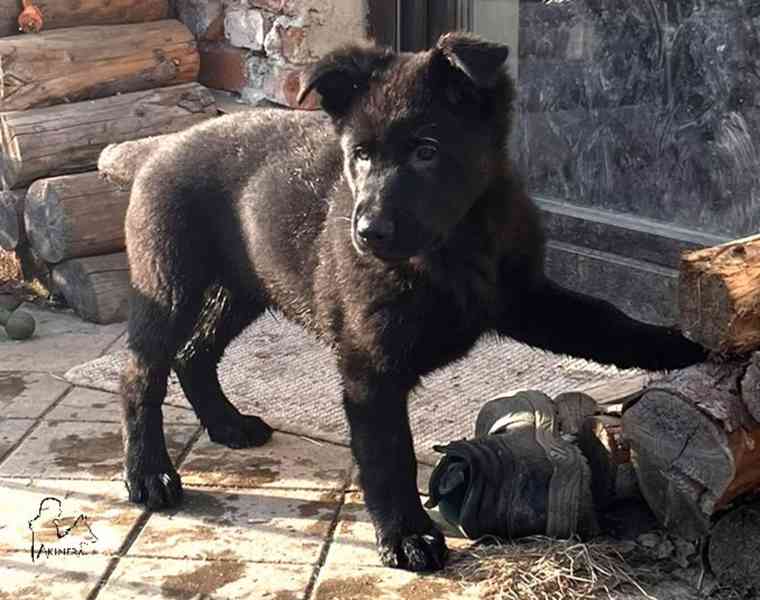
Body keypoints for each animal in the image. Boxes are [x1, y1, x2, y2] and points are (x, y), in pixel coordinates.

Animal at [121, 32, 704, 572]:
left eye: (428, 151)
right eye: (359, 155)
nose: (367, 233)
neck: (454, 246)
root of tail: (160, 146)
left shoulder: (524, 298)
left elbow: (607, 322)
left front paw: (681, 346)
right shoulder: (369, 367)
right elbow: (389, 452)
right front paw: (406, 534)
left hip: (245, 286)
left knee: (194, 354)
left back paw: (226, 424)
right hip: (168, 286)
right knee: (142, 374)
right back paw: (148, 473)